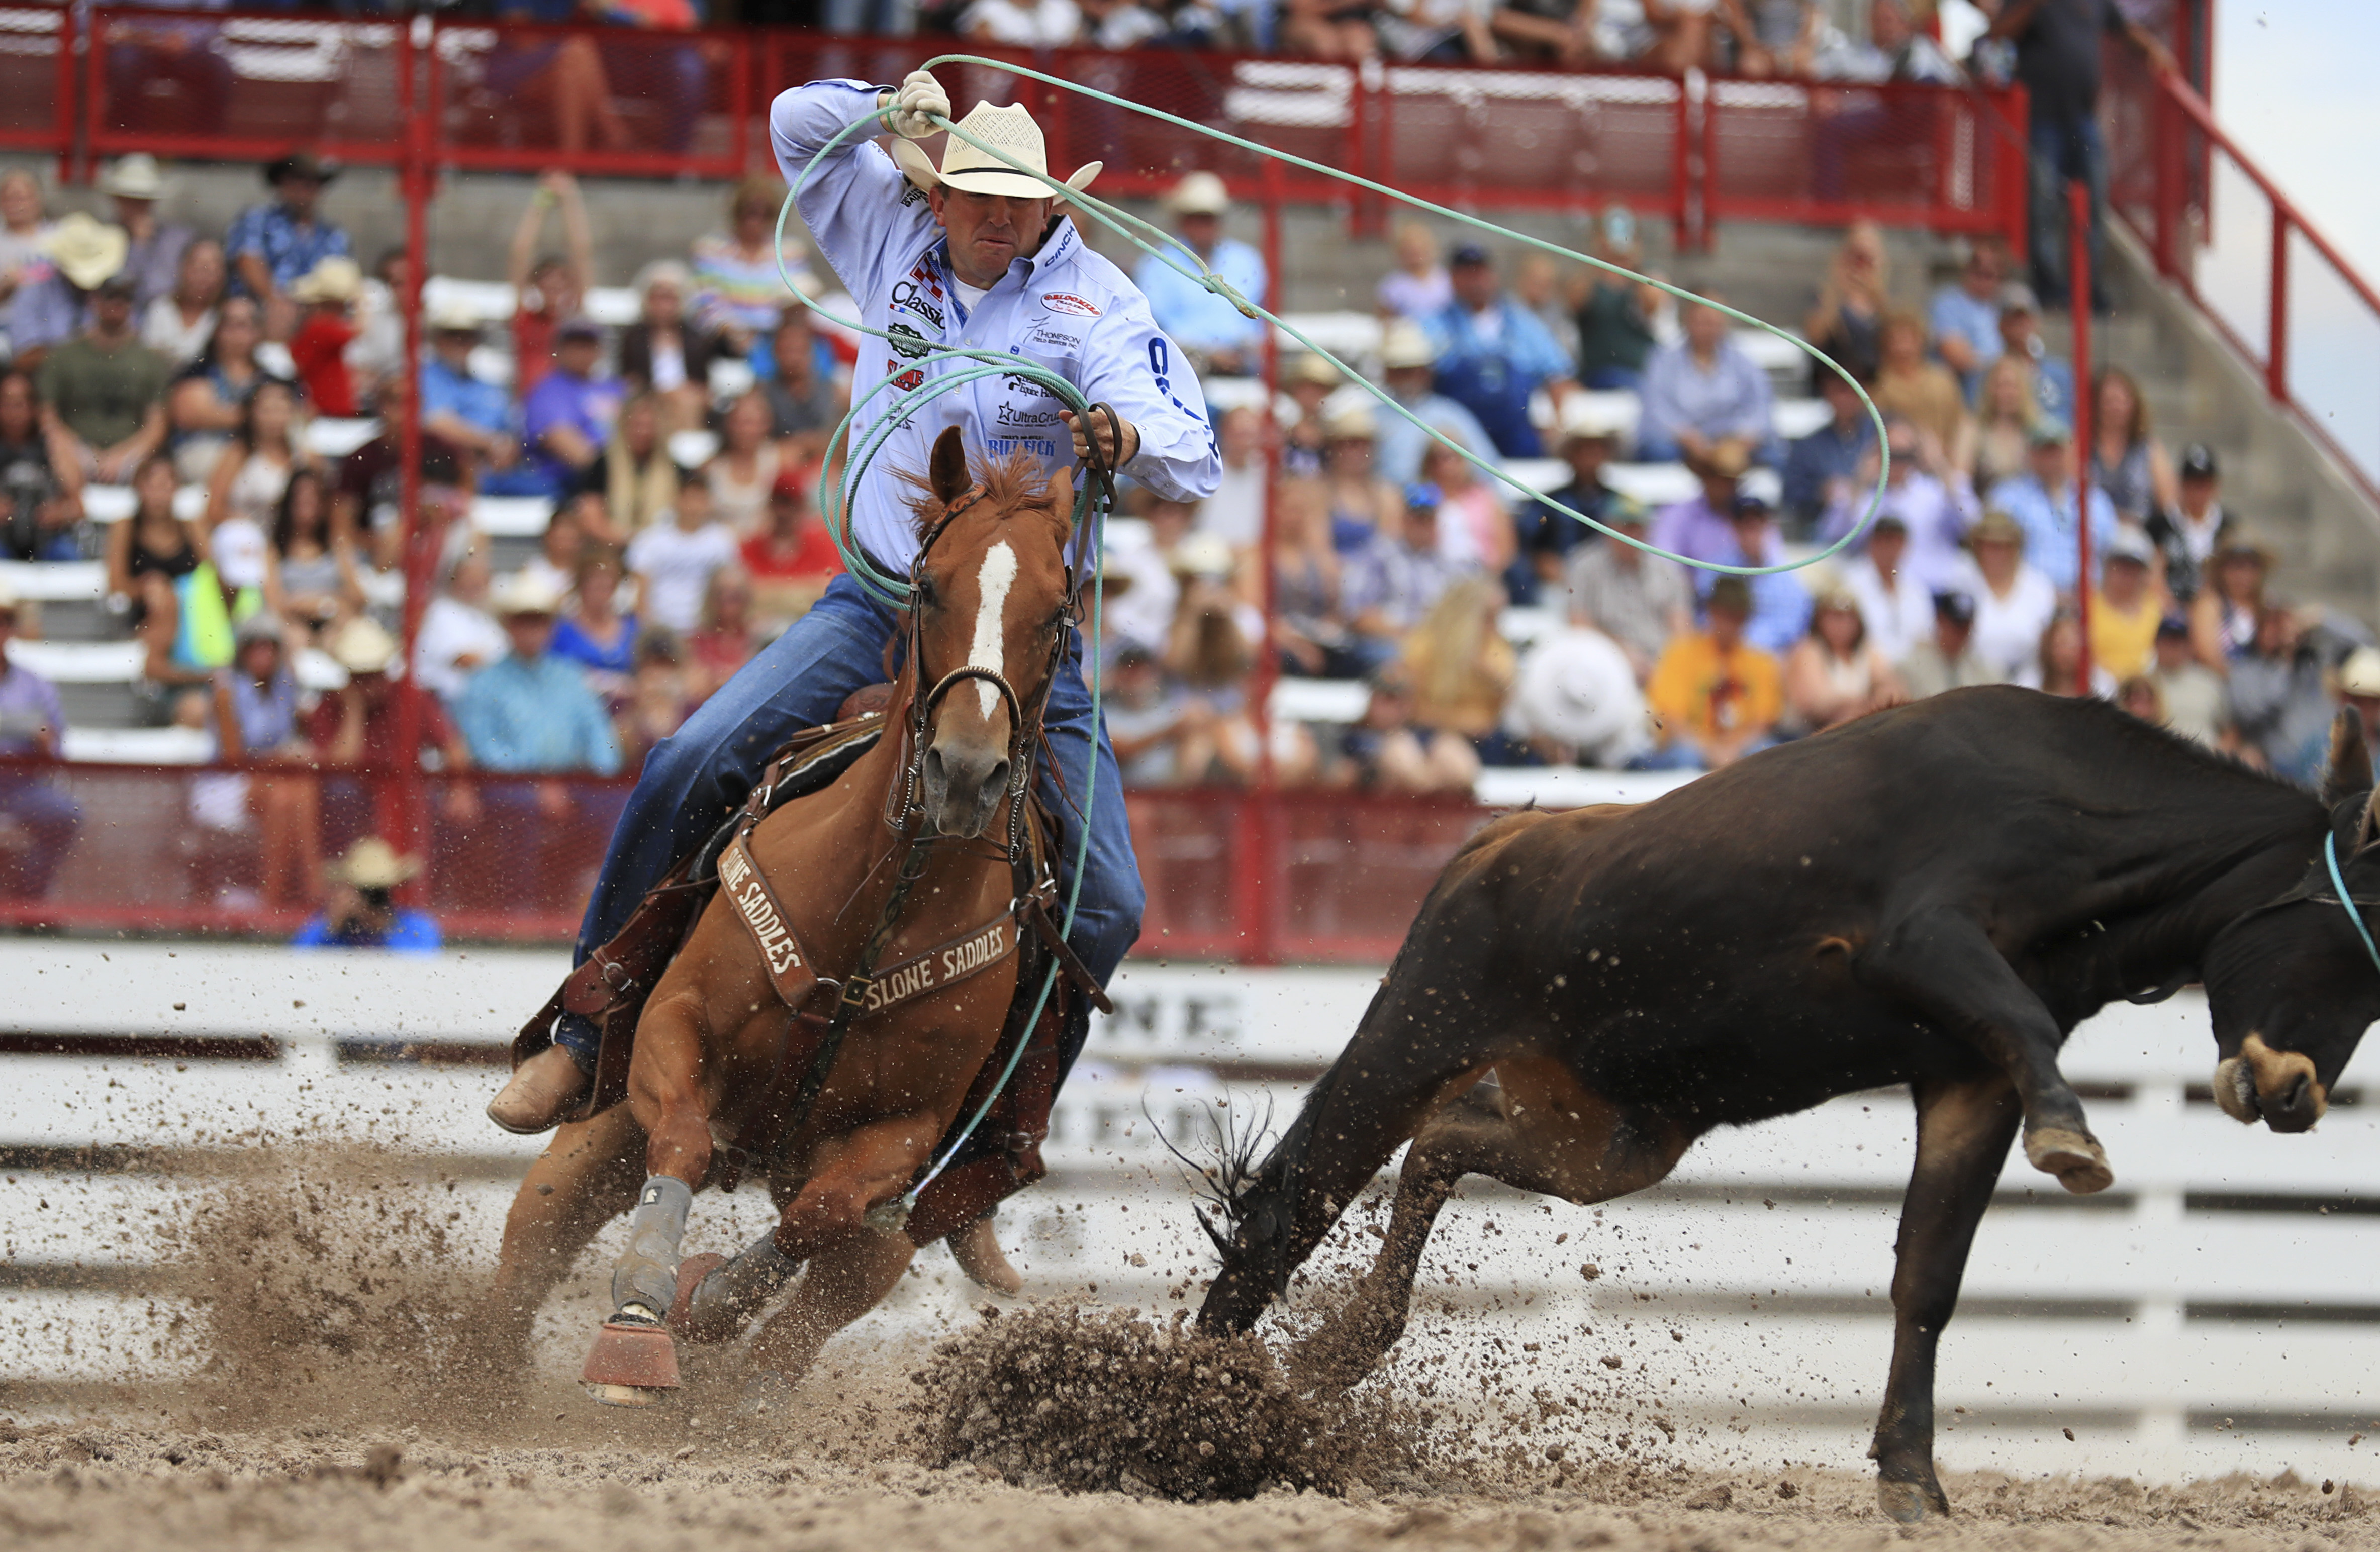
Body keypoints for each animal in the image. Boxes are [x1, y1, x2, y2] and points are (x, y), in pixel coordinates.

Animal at [512, 431, 1090, 1399]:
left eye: (1055, 616)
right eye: (932, 587)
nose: (966, 772)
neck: (877, 912)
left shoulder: (903, 1137)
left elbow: (821, 1213)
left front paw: (709, 1297)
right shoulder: (674, 1028)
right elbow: (685, 1138)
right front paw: (638, 1328)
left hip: (896, 1239)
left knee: (809, 1313)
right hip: (601, 1121)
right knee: (531, 1242)